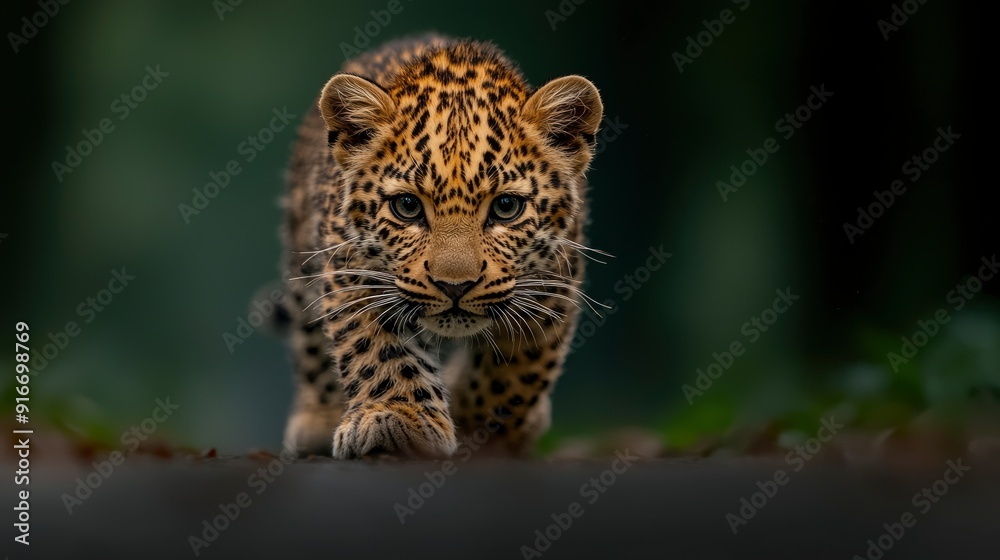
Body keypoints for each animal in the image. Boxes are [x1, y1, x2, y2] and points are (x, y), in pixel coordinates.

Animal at [279, 33, 604, 459]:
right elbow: (376, 350)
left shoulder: (552, 283)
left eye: (506, 206)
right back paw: (317, 419)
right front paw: (398, 418)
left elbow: (513, 376)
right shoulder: (352, 268)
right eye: (407, 206)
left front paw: (479, 427)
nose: (455, 286)